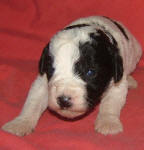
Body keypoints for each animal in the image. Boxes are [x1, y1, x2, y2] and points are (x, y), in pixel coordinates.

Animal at [1, 16, 142, 136]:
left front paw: (108, 122)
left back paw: (131, 80)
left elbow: (111, 103)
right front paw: (20, 123)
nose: (64, 100)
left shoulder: (117, 81)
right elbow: (33, 101)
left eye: (90, 72)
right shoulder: (42, 80)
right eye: (51, 70)